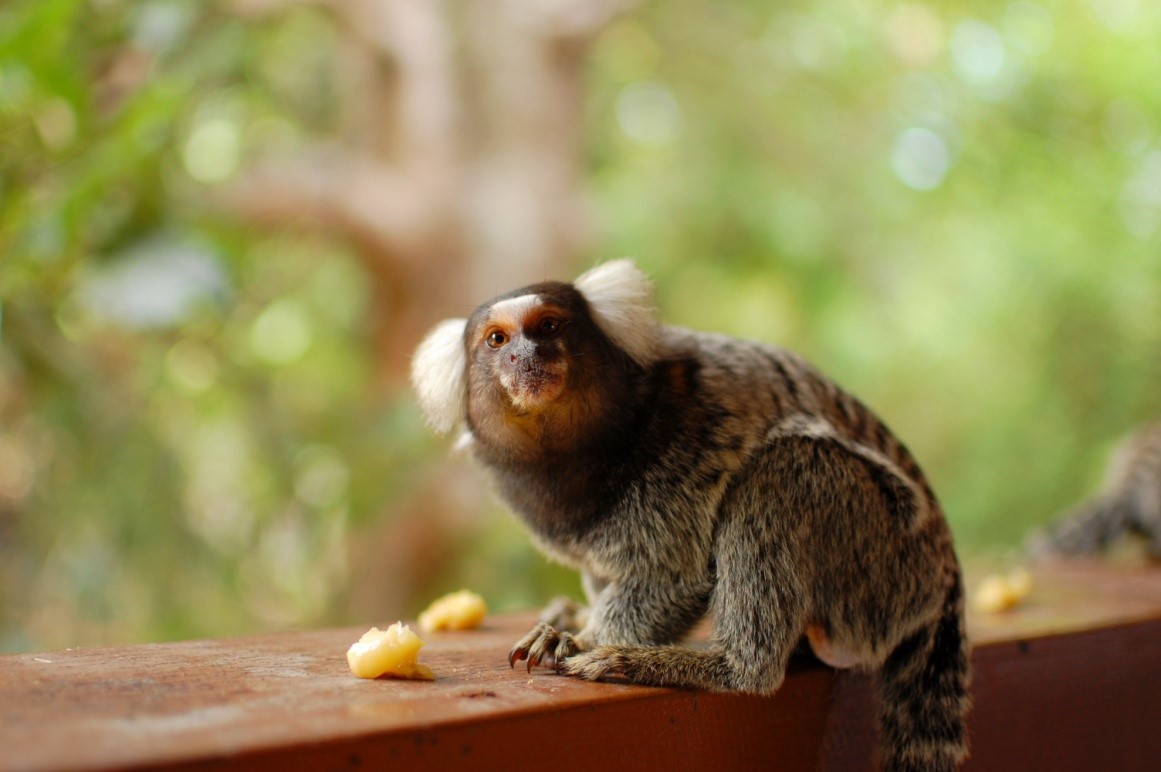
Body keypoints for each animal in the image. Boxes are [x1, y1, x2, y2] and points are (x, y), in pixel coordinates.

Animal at [410, 260, 970, 772]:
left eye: (548, 326)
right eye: (497, 340)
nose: (526, 355)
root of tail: (943, 574)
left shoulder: (689, 437)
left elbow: (672, 577)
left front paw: (580, 639)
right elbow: (608, 570)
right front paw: (582, 615)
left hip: (885, 554)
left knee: (783, 468)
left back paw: (705, 665)